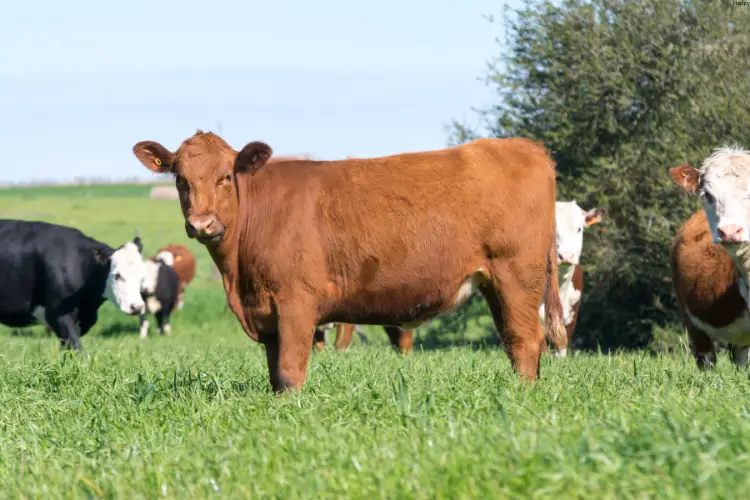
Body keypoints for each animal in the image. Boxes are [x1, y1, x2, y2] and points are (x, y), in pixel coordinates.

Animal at [132, 129, 568, 390]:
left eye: (226, 177)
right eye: (180, 179)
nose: (202, 224)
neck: (238, 278)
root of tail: (523, 146)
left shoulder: (296, 302)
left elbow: (290, 370)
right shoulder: (267, 313)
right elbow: (275, 374)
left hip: (516, 274)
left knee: (526, 340)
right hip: (494, 281)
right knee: (516, 341)